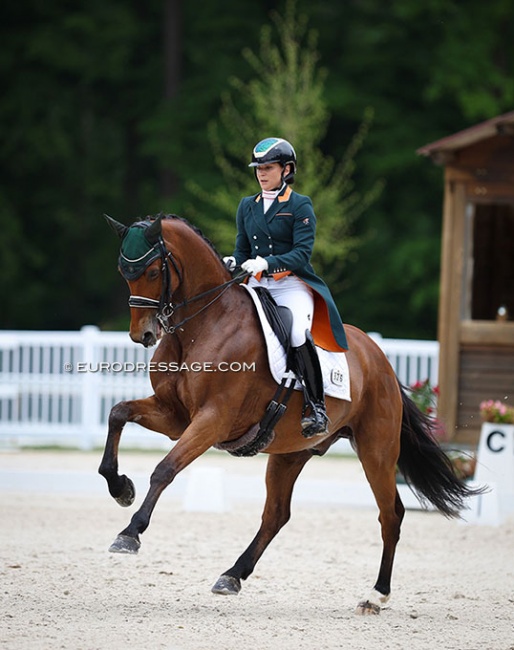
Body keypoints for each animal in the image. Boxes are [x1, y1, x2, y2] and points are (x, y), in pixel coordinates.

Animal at [99, 213, 476, 612]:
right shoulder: (175, 416)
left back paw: (376, 594)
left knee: (391, 514)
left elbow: (165, 469)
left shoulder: (212, 420)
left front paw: (130, 533)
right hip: (290, 453)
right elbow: (118, 413)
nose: (143, 335)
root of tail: (379, 358)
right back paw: (232, 576)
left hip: (377, 451)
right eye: (124, 271)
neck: (203, 325)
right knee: (276, 515)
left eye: (154, 271)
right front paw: (121, 487)